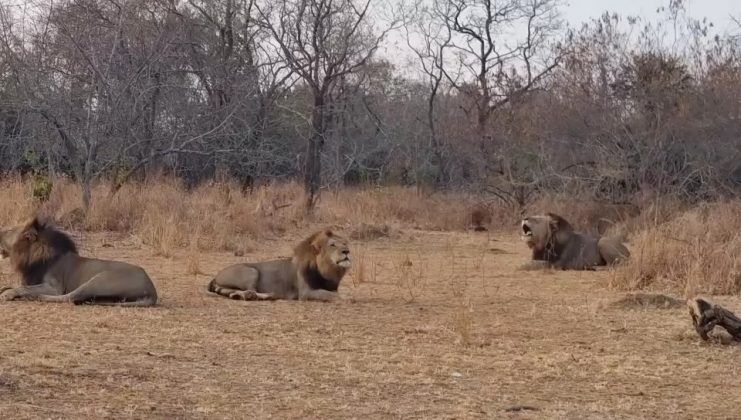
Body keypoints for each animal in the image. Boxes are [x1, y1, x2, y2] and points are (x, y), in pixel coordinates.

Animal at [0, 217, 159, 306]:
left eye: (8, 231)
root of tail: (152, 290)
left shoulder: (54, 287)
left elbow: (24, 288)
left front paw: (8, 294)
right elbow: (19, 285)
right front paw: (6, 289)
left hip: (99, 280)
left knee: (70, 297)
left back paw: (35, 298)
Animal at [205, 230, 350, 302]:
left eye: (344, 243)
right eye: (332, 245)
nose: (347, 251)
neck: (329, 271)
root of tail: (215, 276)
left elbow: (333, 293)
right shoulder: (306, 292)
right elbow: (332, 295)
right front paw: (347, 298)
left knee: (235, 292)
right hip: (251, 271)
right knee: (250, 290)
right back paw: (264, 295)